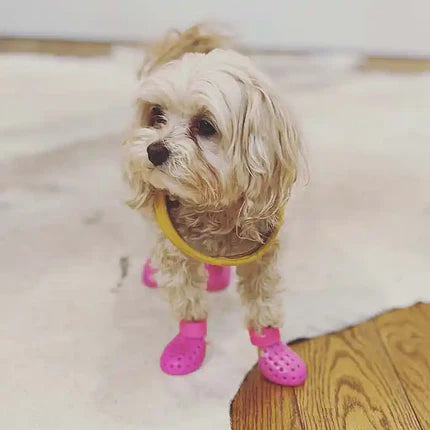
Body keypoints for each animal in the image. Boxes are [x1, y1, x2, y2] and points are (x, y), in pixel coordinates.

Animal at [122, 24, 308, 386]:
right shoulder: (177, 257)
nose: (154, 150)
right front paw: (186, 346)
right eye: (156, 115)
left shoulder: (262, 258)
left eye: (205, 126)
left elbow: (263, 306)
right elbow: (188, 303)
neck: (212, 207)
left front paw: (275, 353)